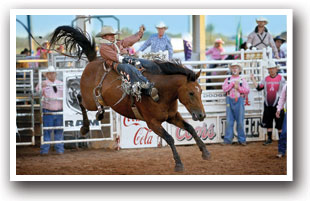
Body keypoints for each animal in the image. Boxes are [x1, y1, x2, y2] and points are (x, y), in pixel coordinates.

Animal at [50, 25, 211, 172]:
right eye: (191, 93)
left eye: (201, 91)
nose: (201, 115)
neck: (162, 93)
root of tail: (93, 61)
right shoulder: (152, 123)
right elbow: (170, 138)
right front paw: (178, 164)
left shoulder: (173, 116)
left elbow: (190, 128)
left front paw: (205, 152)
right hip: (90, 100)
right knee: (79, 99)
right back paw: (85, 127)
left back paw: (100, 113)